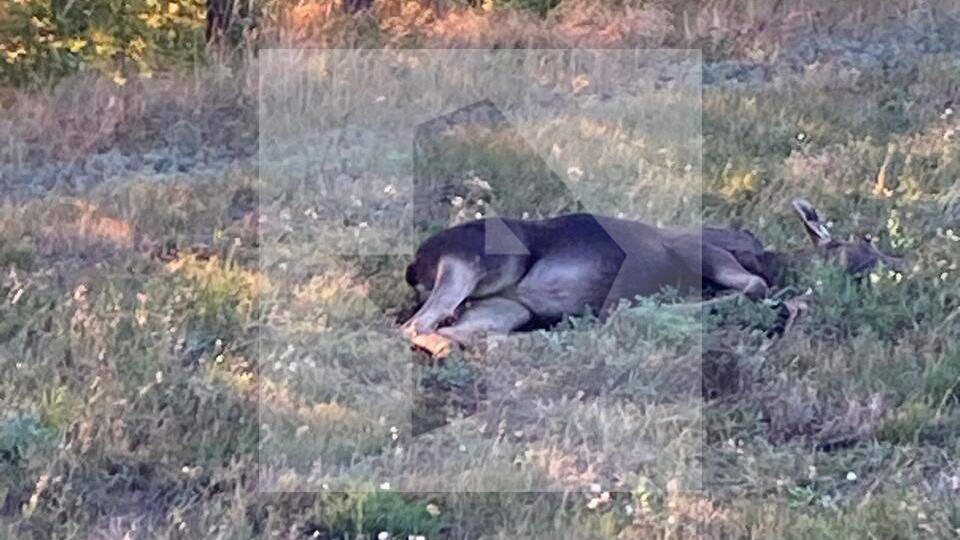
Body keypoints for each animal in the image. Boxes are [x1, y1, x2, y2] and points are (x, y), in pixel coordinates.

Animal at [402, 200, 904, 356]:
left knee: (461, 330)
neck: (773, 259)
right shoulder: (695, 248)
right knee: (416, 325)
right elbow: (753, 287)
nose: (890, 262)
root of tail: (417, 262)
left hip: (507, 307)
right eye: (845, 246)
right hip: (482, 261)